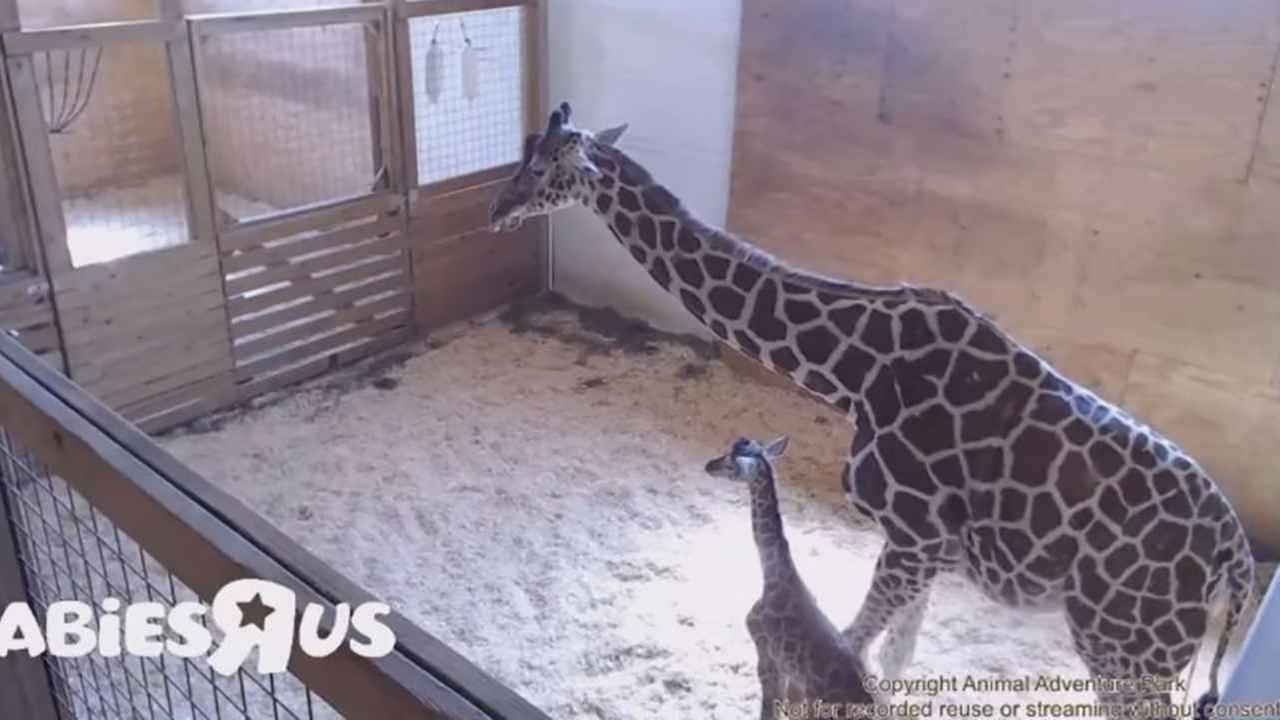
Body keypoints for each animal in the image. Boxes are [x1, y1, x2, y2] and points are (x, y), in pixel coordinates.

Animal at [704, 435, 881, 720]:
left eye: (731, 464)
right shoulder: (791, 675)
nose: (709, 465)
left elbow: (770, 707)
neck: (773, 575)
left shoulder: (766, 651)